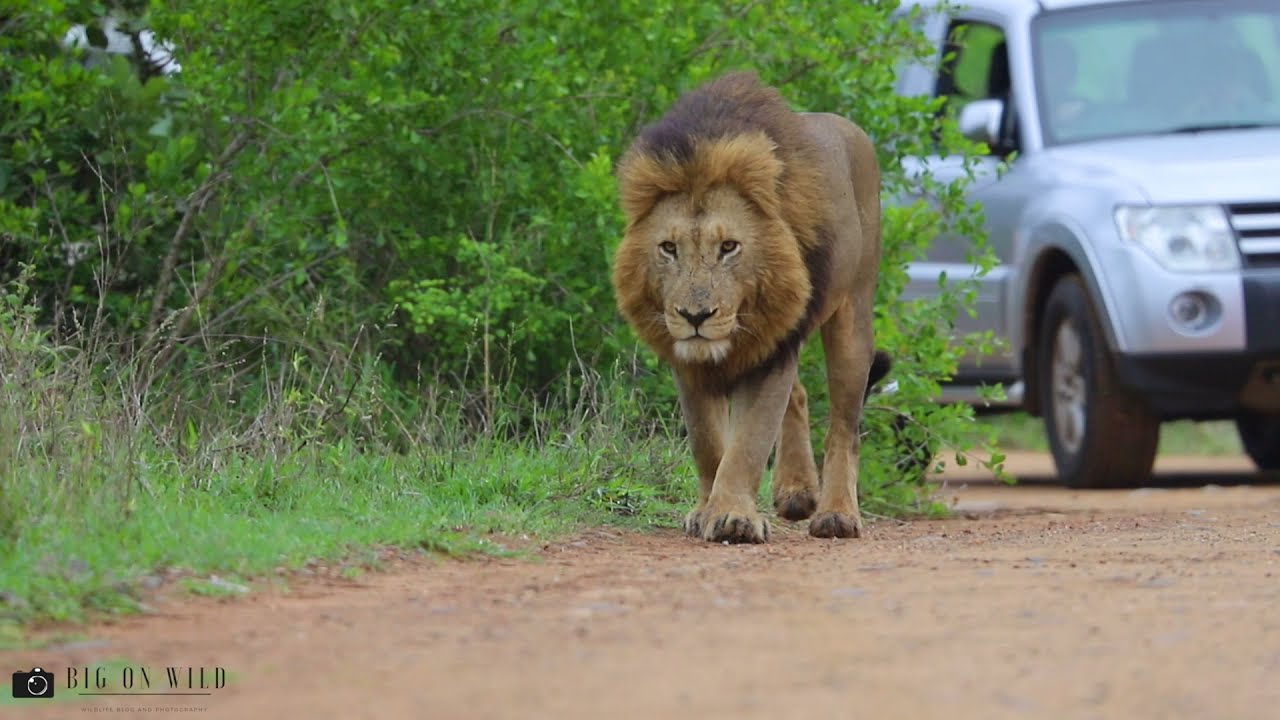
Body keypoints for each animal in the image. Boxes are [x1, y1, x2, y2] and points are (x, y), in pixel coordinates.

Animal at [612, 71, 889, 544]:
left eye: (729, 247)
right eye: (668, 248)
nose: (695, 317)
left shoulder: (772, 352)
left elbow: (748, 443)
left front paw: (733, 518)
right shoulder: (690, 360)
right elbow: (708, 443)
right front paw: (704, 511)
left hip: (851, 317)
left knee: (844, 428)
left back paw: (836, 515)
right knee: (799, 396)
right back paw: (796, 493)